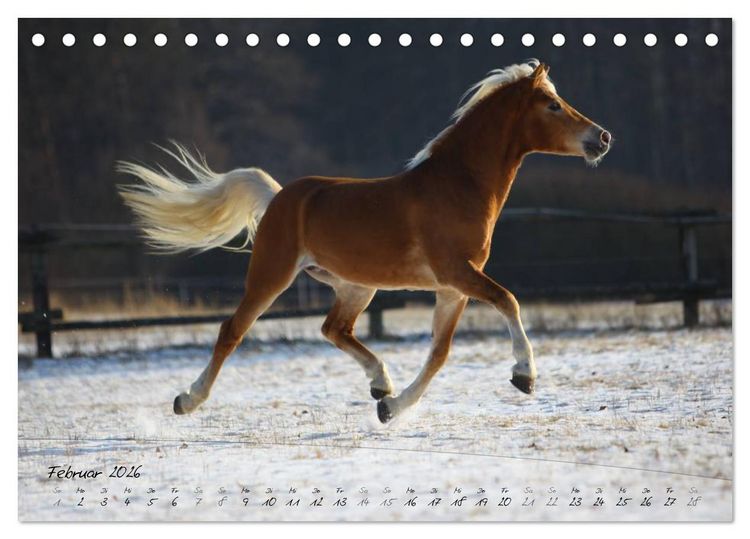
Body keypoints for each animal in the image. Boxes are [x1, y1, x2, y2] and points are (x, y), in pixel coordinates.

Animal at [118, 60, 611, 424]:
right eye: (552, 105)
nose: (602, 138)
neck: (458, 186)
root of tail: (279, 197)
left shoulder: (453, 288)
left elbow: (439, 354)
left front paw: (391, 408)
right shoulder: (459, 274)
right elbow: (508, 300)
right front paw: (525, 376)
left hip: (357, 286)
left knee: (333, 329)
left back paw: (381, 384)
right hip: (272, 276)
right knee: (232, 331)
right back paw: (187, 400)